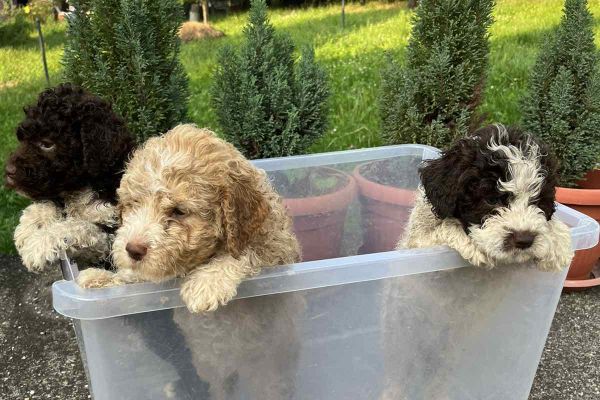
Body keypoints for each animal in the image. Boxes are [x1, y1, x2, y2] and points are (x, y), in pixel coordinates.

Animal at [4, 84, 134, 272]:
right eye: (22, 138)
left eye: (47, 143)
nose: (8, 171)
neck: (83, 186)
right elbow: (48, 203)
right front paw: (28, 226)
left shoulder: (113, 235)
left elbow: (76, 226)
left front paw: (38, 245)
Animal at [78, 124, 302, 312]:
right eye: (134, 203)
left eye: (179, 211)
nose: (133, 250)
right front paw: (101, 279)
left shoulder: (276, 252)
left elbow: (249, 253)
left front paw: (207, 283)